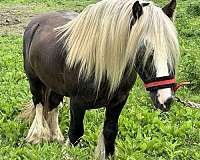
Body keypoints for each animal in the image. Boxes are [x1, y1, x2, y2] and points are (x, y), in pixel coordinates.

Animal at [22, 0, 180, 159]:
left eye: (171, 48)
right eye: (143, 48)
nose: (165, 99)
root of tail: (36, 22)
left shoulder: (118, 102)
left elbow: (110, 131)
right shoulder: (77, 103)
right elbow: (75, 133)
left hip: (55, 84)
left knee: (53, 105)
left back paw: (56, 137)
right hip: (34, 82)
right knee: (39, 104)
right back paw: (37, 136)